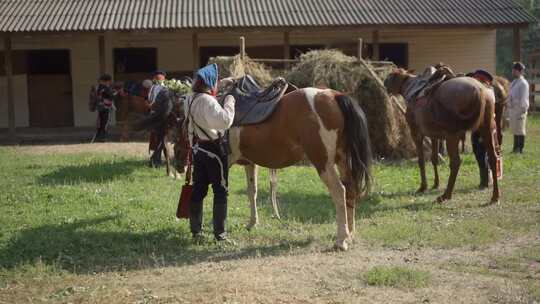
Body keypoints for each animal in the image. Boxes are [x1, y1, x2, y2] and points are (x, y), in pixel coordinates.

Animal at [175, 87, 374, 249]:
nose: (178, 165)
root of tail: (335, 96)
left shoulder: (226, 163)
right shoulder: (250, 163)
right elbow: (252, 191)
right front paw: (252, 223)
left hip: (323, 163)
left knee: (339, 192)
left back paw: (341, 240)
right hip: (342, 161)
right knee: (350, 190)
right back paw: (350, 233)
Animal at [386, 69, 500, 205]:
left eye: (389, 77)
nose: (384, 85)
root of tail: (480, 92)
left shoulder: (417, 133)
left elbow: (421, 161)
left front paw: (423, 187)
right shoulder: (434, 135)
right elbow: (434, 158)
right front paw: (435, 184)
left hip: (453, 135)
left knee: (456, 162)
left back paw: (446, 195)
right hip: (487, 129)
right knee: (493, 158)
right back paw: (495, 196)